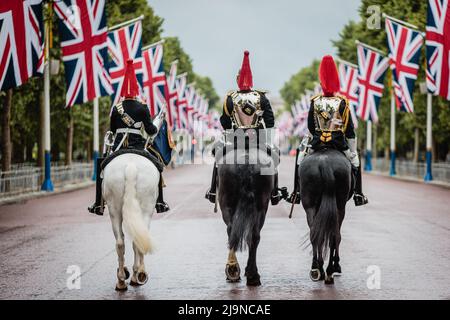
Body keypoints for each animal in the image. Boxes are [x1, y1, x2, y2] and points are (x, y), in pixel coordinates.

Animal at [217, 148, 276, 284]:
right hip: (261, 207)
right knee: (254, 236)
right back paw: (251, 274)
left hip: (227, 205)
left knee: (232, 231)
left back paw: (235, 269)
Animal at [298, 148, 356, 284]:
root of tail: (324, 163)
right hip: (339, 207)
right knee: (335, 236)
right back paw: (331, 269)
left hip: (310, 207)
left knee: (316, 235)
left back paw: (316, 269)